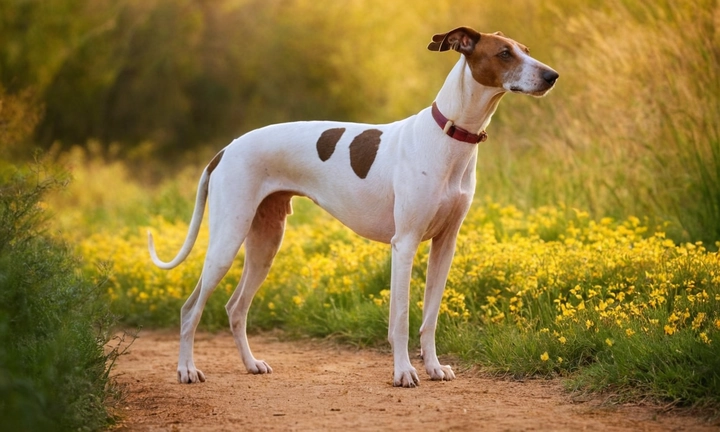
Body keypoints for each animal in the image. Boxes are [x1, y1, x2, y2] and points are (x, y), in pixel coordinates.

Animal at [149, 27, 560, 388]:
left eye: (526, 49)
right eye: (504, 53)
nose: (552, 76)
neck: (450, 135)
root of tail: (225, 149)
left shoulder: (445, 245)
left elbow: (429, 317)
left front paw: (434, 367)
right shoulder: (405, 244)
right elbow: (401, 319)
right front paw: (403, 373)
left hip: (265, 242)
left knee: (235, 308)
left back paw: (251, 364)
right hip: (227, 240)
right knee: (190, 309)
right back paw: (187, 370)